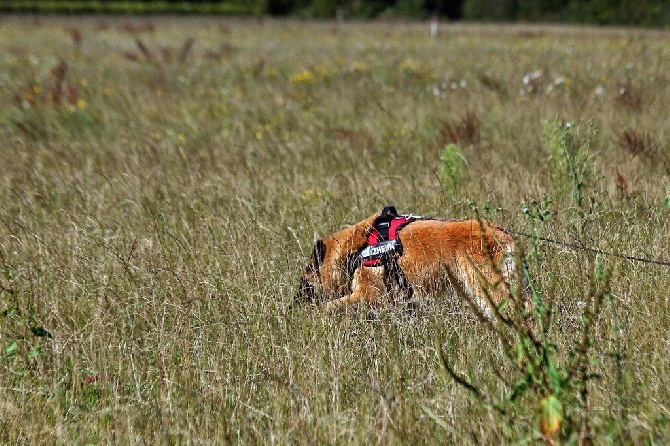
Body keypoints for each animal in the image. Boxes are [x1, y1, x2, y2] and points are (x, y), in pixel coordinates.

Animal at [296, 206, 524, 314]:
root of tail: (499, 231)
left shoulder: (370, 295)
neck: (356, 250)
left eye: (304, 284)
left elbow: (328, 307)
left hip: (490, 293)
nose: (293, 307)